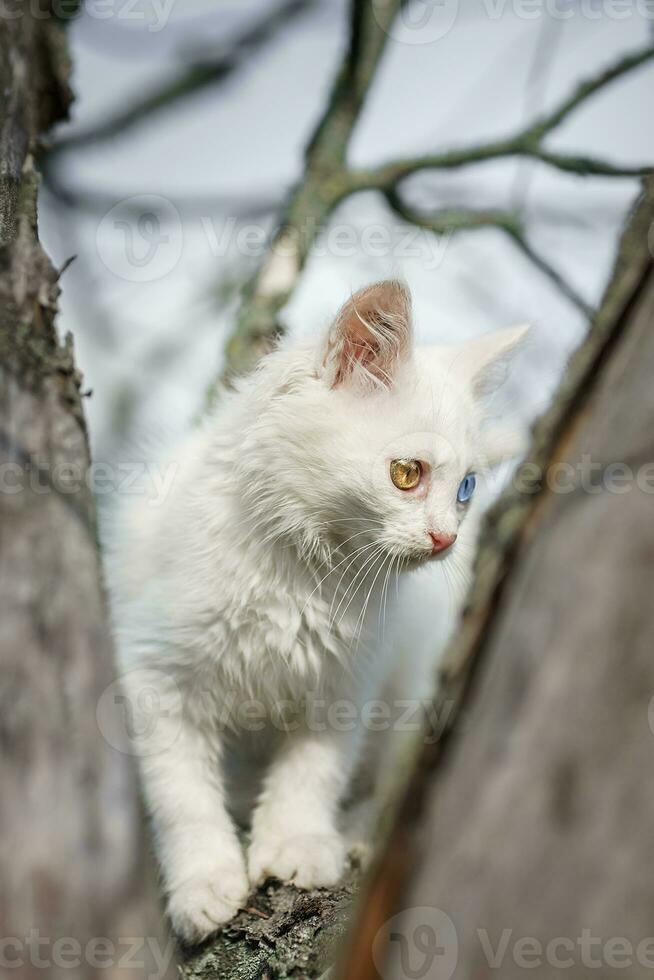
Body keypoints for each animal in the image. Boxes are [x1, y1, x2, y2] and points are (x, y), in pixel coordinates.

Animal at [109, 282, 528, 940]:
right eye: (406, 474)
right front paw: (203, 883)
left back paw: (356, 838)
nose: (445, 539)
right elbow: (182, 796)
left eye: (466, 489)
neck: (302, 575)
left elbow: (313, 774)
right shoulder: (155, 673)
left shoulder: (347, 683)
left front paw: (297, 847)